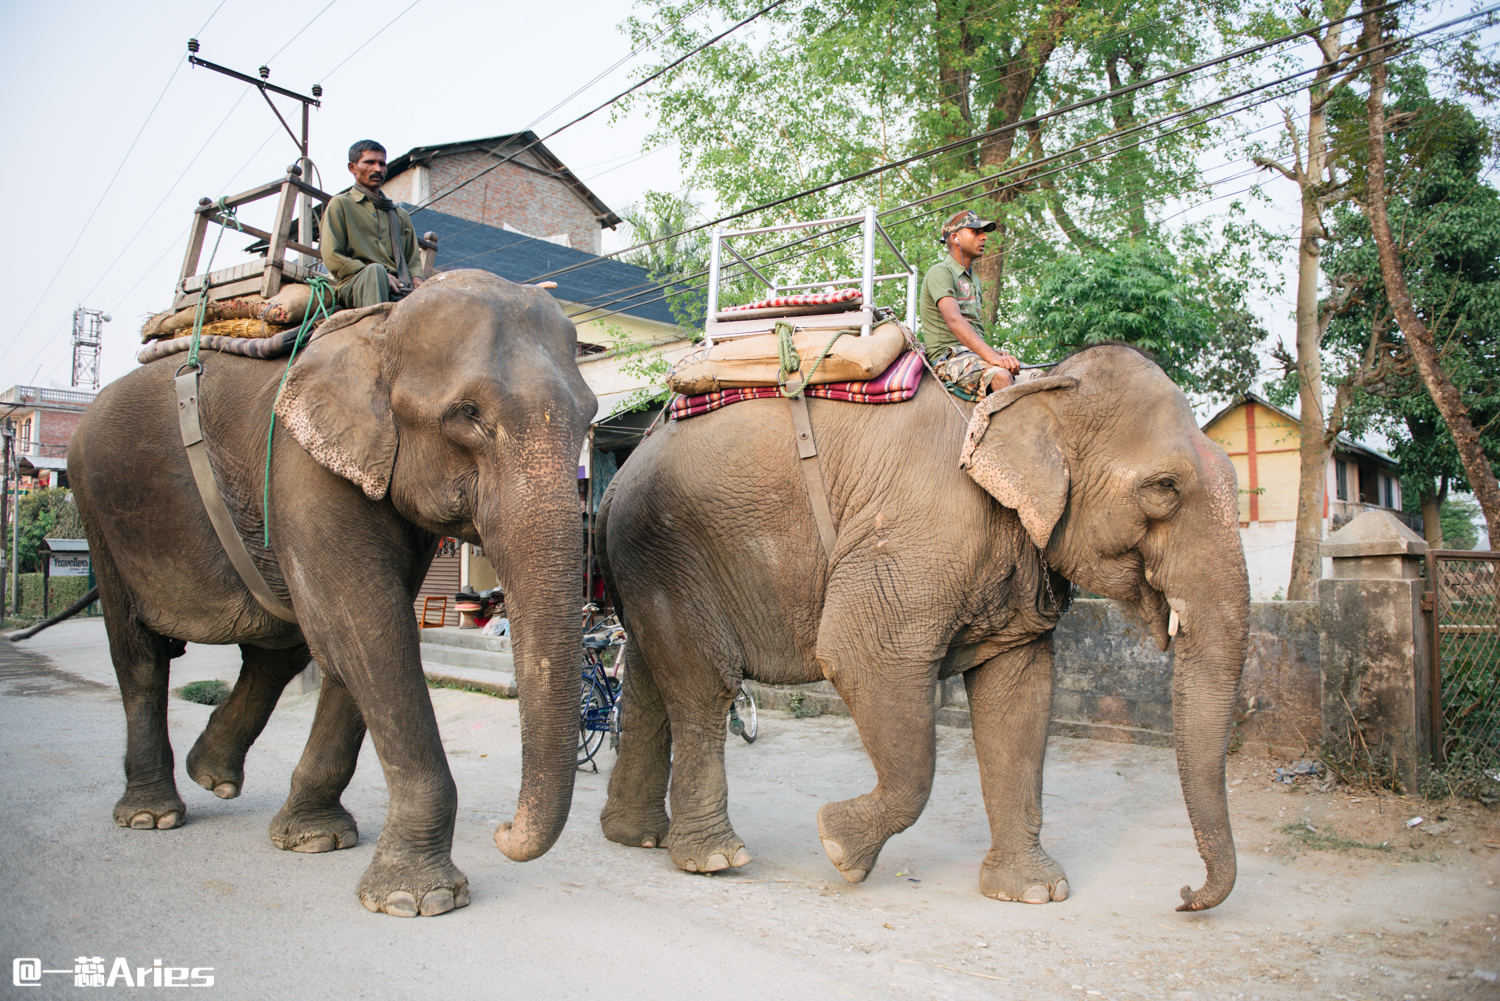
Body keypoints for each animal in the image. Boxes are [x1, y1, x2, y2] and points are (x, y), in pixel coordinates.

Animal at [64, 270, 594, 918]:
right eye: (466, 414)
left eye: (591, 417)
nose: (503, 833)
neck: (381, 326)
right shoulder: (303, 468)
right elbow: (370, 627)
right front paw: (418, 899)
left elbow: (358, 634)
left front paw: (316, 840)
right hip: (97, 504)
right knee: (139, 653)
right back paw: (151, 815)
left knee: (281, 642)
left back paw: (212, 775)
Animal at [597, 346, 1242, 918]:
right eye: (1164, 488)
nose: (1183, 895)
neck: (1034, 389)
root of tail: (616, 478)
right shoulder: (912, 538)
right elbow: (861, 657)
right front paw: (838, 846)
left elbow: (1020, 694)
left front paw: (1034, 894)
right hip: (670, 549)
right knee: (704, 685)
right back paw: (714, 859)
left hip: (648, 567)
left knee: (650, 678)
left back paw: (637, 838)